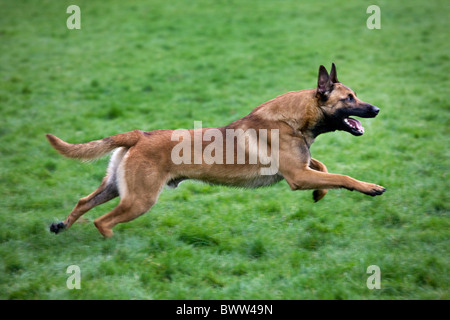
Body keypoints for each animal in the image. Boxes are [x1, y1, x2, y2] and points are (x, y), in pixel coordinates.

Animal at [48, 63, 386, 238]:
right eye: (349, 98)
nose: (376, 109)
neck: (294, 118)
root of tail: (139, 135)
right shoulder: (297, 176)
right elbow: (342, 176)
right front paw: (369, 187)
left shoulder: (301, 168)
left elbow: (324, 167)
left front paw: (320, 193)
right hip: (140, 199)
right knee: (102, 222)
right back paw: (112, 246)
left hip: (117, 188)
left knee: (83, 203)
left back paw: (60, 225)